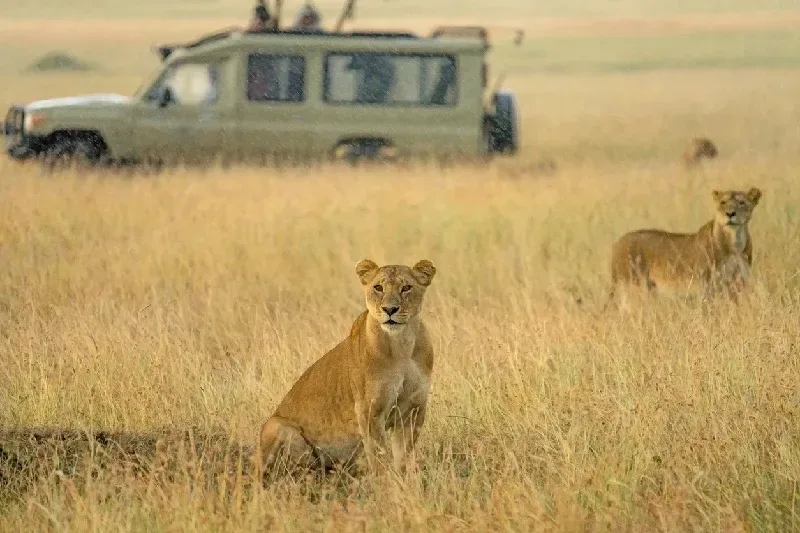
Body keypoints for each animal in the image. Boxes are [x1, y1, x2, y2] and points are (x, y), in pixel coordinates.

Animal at [257, 258, 438, 478]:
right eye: (378, 288)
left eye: (406, 288)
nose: (390, 309)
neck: (402, 345)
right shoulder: (369, 410)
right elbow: (379, 455)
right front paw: (385, 481)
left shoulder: (413, 408)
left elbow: (403, 456)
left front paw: (405, 480)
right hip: (276, 426)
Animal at [604, 187, 762, 309]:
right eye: (723, 202)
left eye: (742, 203)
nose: (730, 214)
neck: (735, 241)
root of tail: (617, 243)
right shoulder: (706, 286)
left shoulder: (737, 284)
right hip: (632, 287)